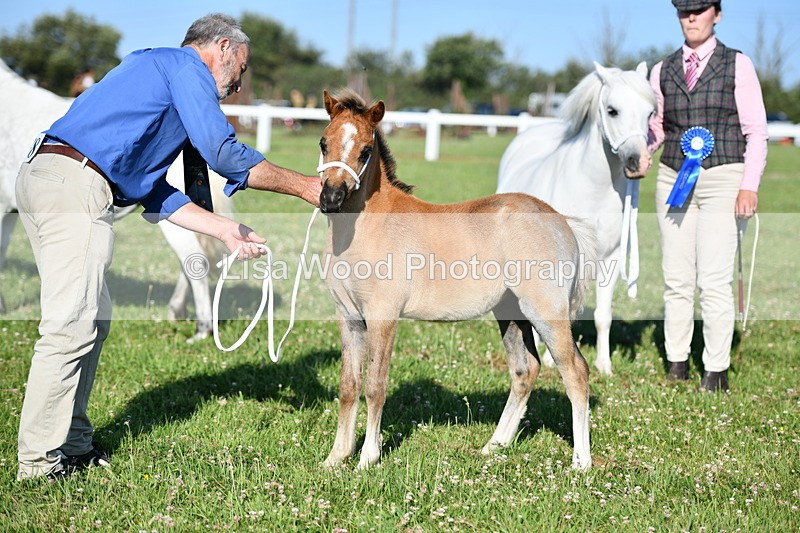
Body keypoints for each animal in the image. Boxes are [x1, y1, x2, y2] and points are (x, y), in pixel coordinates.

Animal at [317, 89, 596, 470]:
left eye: (365, 150)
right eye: (323, 143)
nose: (330, 199)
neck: (365, 228)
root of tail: (562, 221)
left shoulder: (383, 317)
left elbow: (375, 386)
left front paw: (366, 459)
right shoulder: (348, 317)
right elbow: (348, 386)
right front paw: (335, 458)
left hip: (546, 312)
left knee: (575, 372)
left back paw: (581, 462)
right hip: (510, 313)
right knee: (525, 370)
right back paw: (494, 446)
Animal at [497, 62, 656, 375]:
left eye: (650, 113)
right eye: (612, 110)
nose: (639, 163)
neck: (593, 192)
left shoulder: (612, 258)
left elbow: (603, 315)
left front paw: (605, 366)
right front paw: (548, 360)